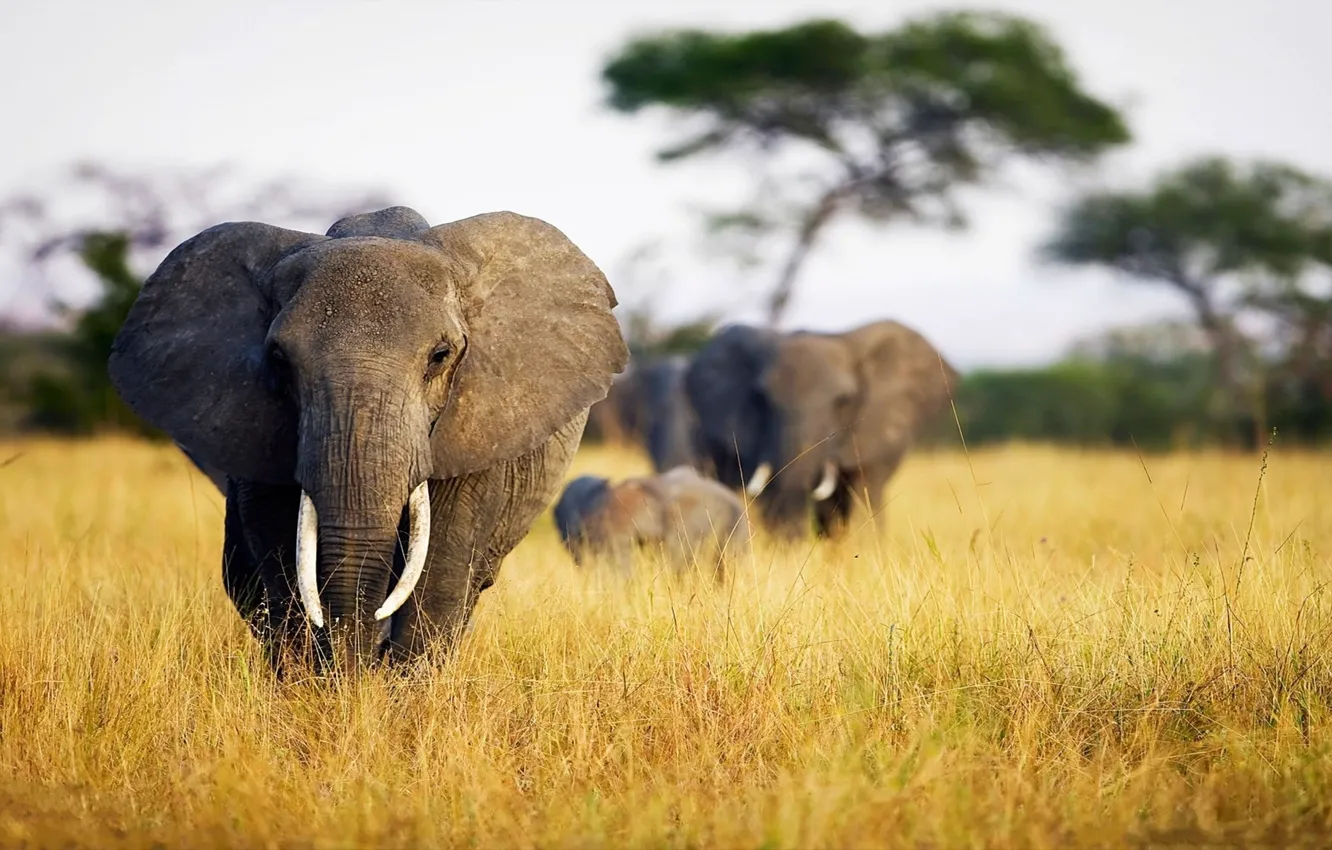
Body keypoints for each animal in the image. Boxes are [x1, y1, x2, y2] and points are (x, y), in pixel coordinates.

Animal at [108, 205, 628, 671]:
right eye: (278, 360)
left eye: (440, 356)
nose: (357, 671)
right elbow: (280, 554)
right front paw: (314, 691)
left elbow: (441, 567)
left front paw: (398, 700)